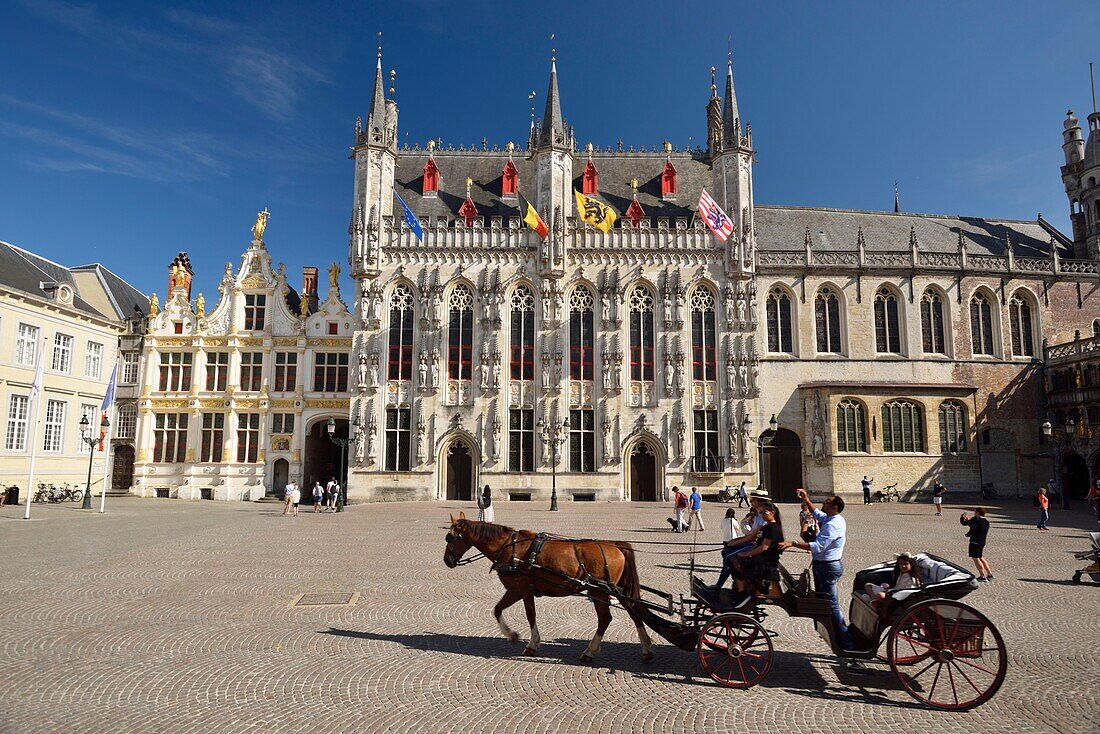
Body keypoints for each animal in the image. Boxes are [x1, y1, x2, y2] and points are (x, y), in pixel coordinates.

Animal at [444, 515, 651, 664]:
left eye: (450, 537)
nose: (447, 561)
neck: (509, 547)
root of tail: (615, 544)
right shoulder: (519, 591)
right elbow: (502, 610)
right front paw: (517, 637)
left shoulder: (520, 589)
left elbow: (524, 615)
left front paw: (524, 640)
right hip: (615, 590)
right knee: (634, 612)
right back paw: (646, 648)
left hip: (600, 591)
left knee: (606, 619)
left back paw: (590, 651)